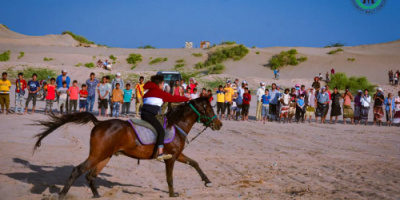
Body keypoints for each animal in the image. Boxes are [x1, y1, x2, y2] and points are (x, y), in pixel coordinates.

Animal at [32, 96, 222, 198]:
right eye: (209, 109)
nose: (219, 124)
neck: (176, 124)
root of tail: (98, 123)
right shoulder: (171, 159)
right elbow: (170, 178)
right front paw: (172, 194)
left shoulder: (178, 155)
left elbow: (195, 163)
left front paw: (207, 181)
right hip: (98, 155)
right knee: (77, 170)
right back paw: (62, 195)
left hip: (105, 156)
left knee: (90, 175)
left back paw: (97, 195)